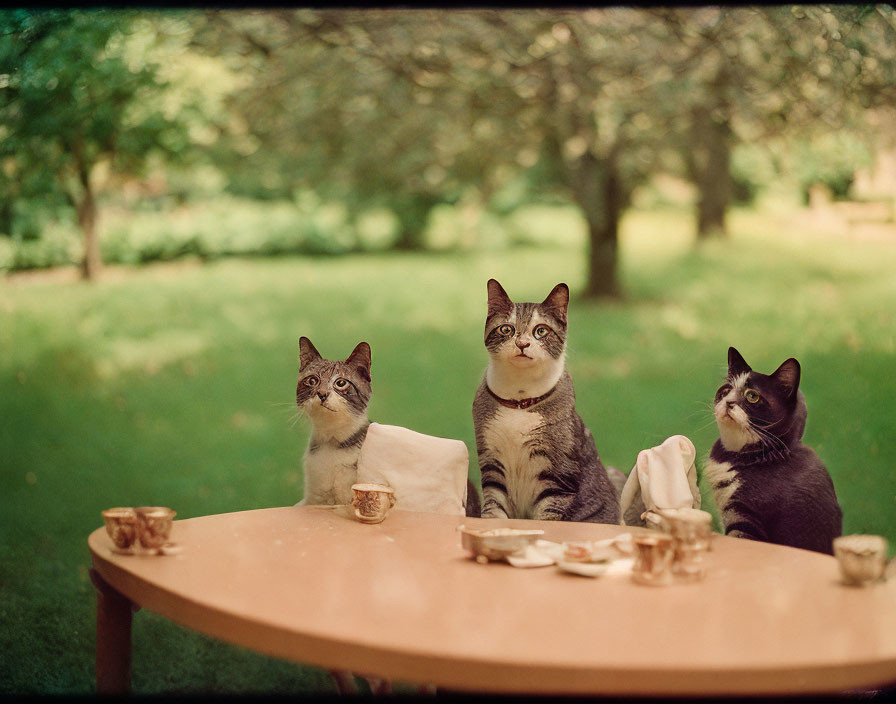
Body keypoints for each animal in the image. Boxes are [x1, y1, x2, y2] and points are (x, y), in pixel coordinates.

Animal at [472, 280, 628, 524]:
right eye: (506, 329)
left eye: (541, 330)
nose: (522, 343)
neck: (520, 401)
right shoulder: (491, 463)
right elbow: (494, 509)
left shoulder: (559, 476)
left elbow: (549, 518)